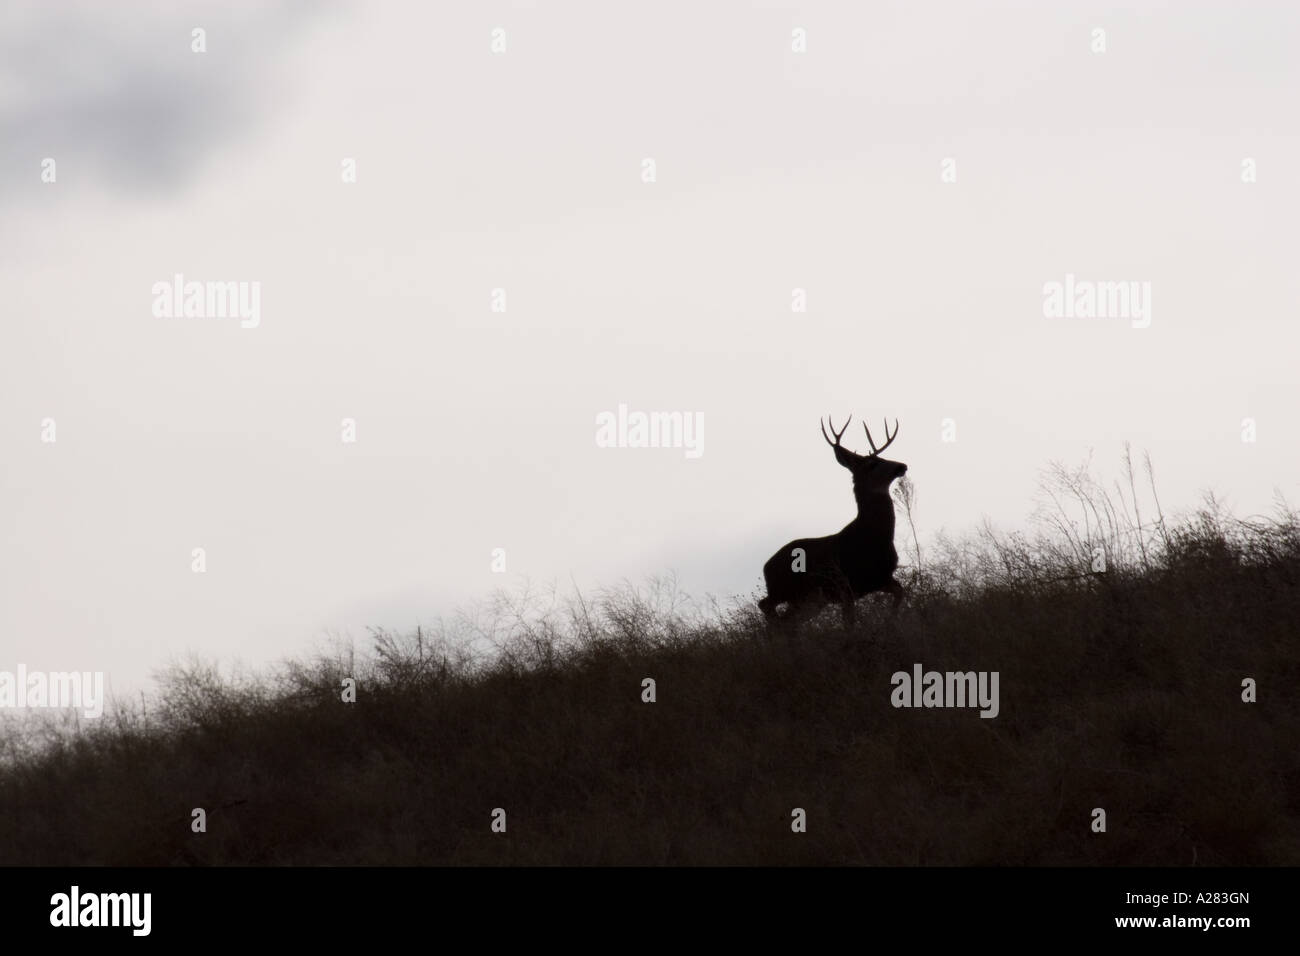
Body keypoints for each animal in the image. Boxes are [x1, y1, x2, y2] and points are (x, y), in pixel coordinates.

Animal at [758, 416, 907, 628]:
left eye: (883, 458)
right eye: (872, 464)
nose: (902, 466)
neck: (874, 536)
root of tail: (766, 566)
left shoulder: (881, 578)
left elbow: (900, 593)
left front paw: (890, 621)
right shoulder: (845, 584)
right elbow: (849, 622)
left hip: (809, 600)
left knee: (789, 620)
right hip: (784, 589)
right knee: (765, 604)